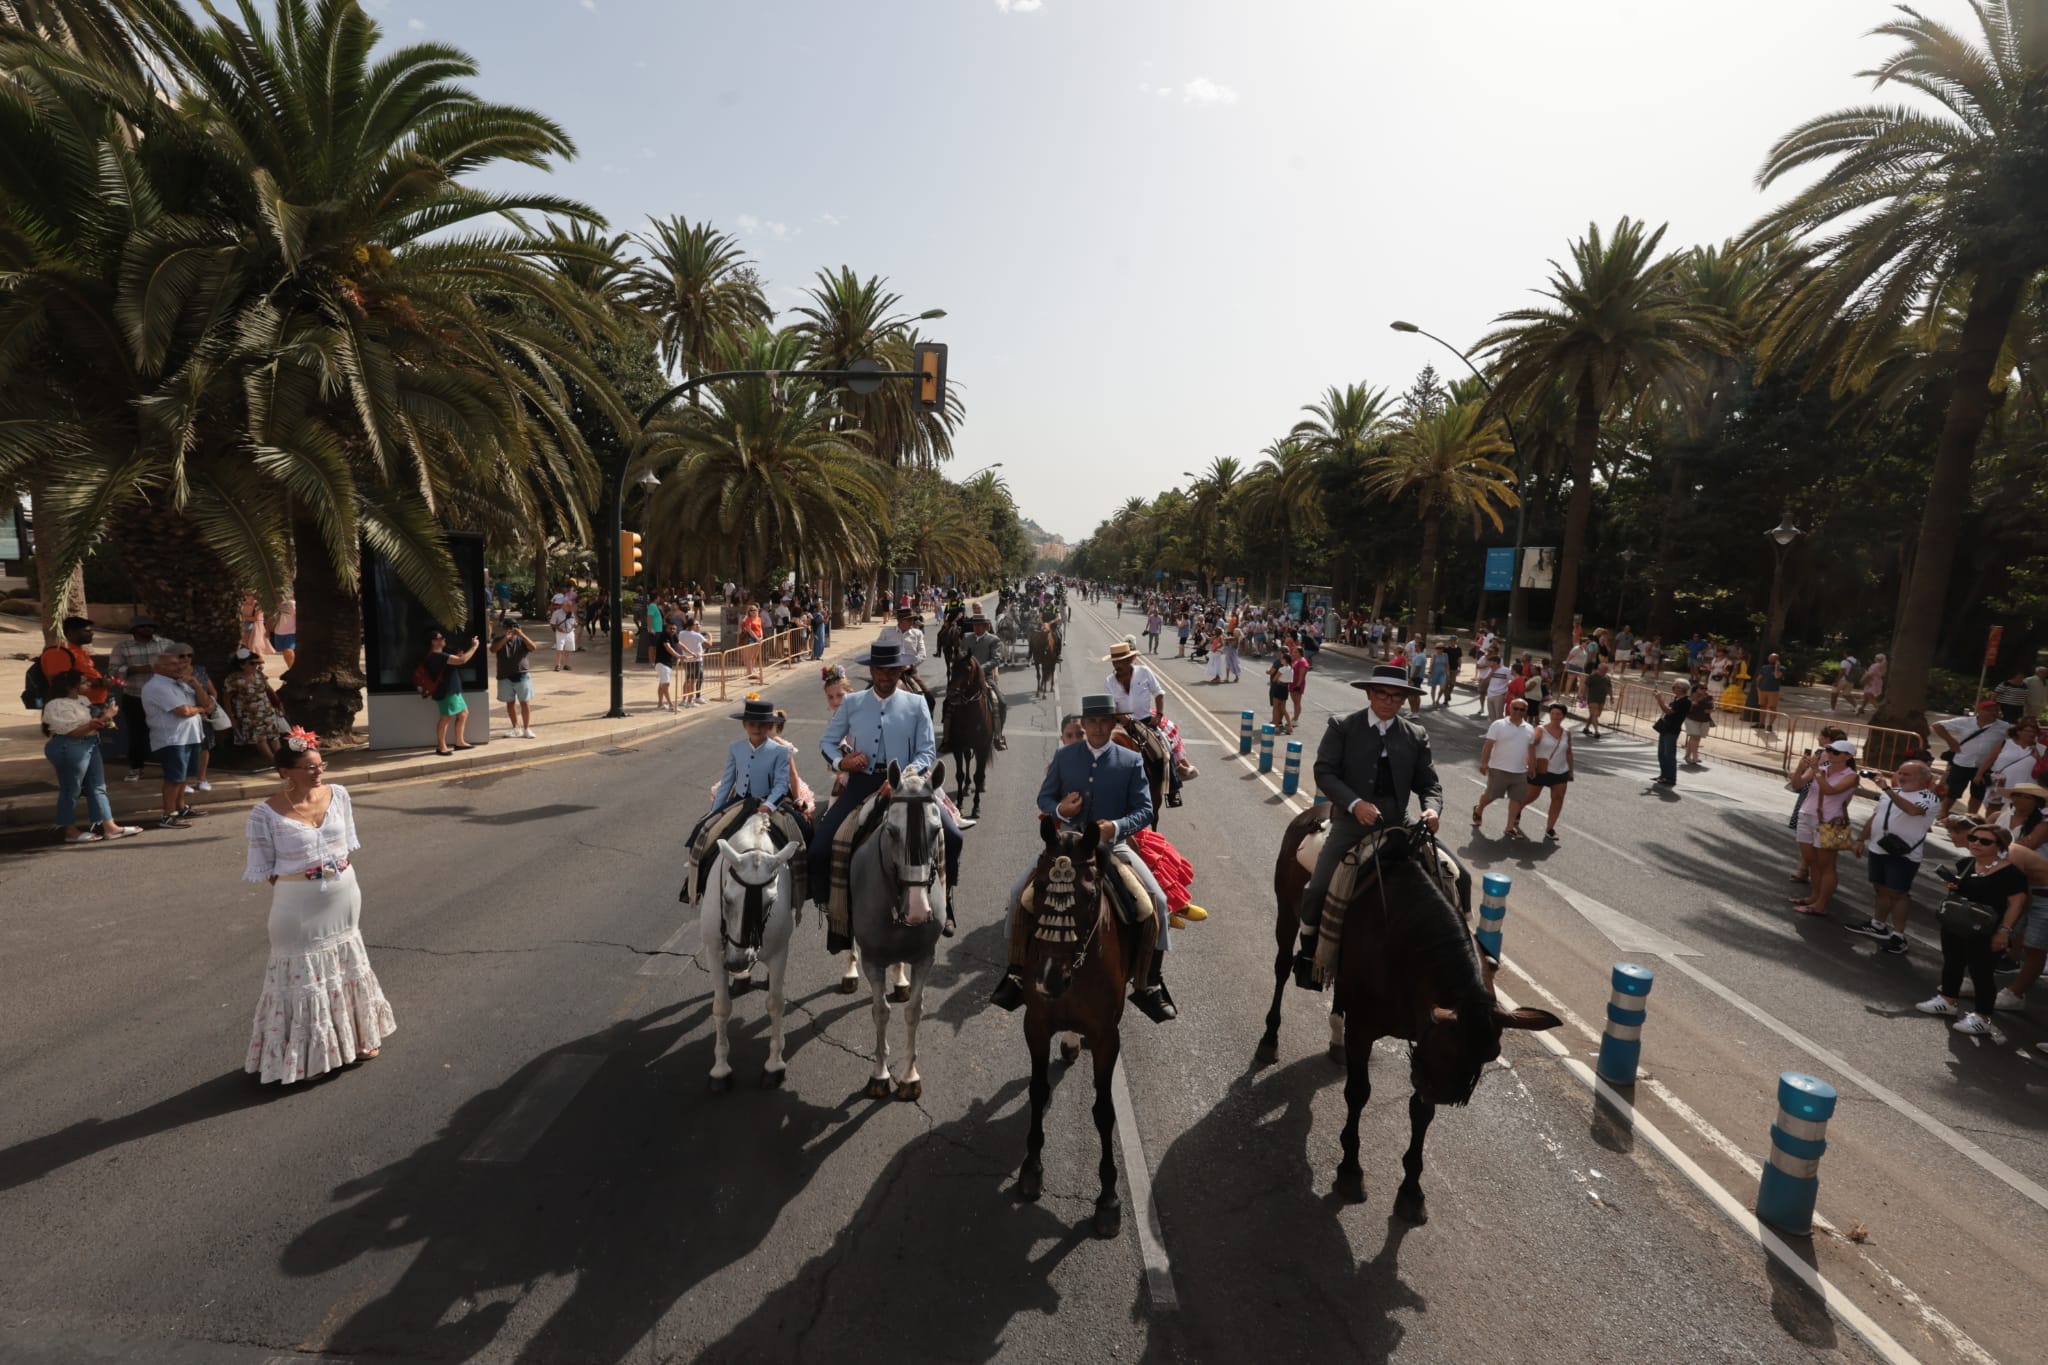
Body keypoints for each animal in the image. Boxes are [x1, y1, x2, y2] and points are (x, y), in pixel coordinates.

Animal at [704, 818, 798, 1096]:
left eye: (771, 902)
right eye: (726, 899)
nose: (738, 962)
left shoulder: (779, 953)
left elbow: (775, 1003)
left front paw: (774, 1065)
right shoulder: (714, 953)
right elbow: (721, 1006)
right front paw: (720, 1069)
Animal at [843, 765, 946, 1105]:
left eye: (936, 830)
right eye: (891, 831)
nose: (917, 911)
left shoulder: (926, 957)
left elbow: (914, 1011)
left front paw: (910, 1077)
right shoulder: (873, 960)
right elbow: (880, 1012)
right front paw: (879, 1075)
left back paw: (900, 980)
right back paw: (849, 972)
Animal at [1015, 822, 1163, 1236]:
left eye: (1090, 894)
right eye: (1041, 886)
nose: (1048, 979)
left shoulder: (1107, 1038)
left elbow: (1104, 1111)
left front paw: (1108, 1198)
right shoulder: (1035, 1023)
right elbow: (1037, 1090)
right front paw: (1031, 1167)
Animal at [1253, 810, 1556, 1227]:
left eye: (1490, 1056)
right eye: (1447, 1051)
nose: (1449, 1094)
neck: (1409, 942)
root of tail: (1314, 812)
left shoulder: (1421, 1037)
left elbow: (1421, 1113)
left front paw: (1411, 1190)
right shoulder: (1367, 1031)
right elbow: (1358, 1092)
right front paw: (1350, 1170)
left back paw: (1334, 1040)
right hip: (1287, 910)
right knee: (1282, 967)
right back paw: (1270, 1038)